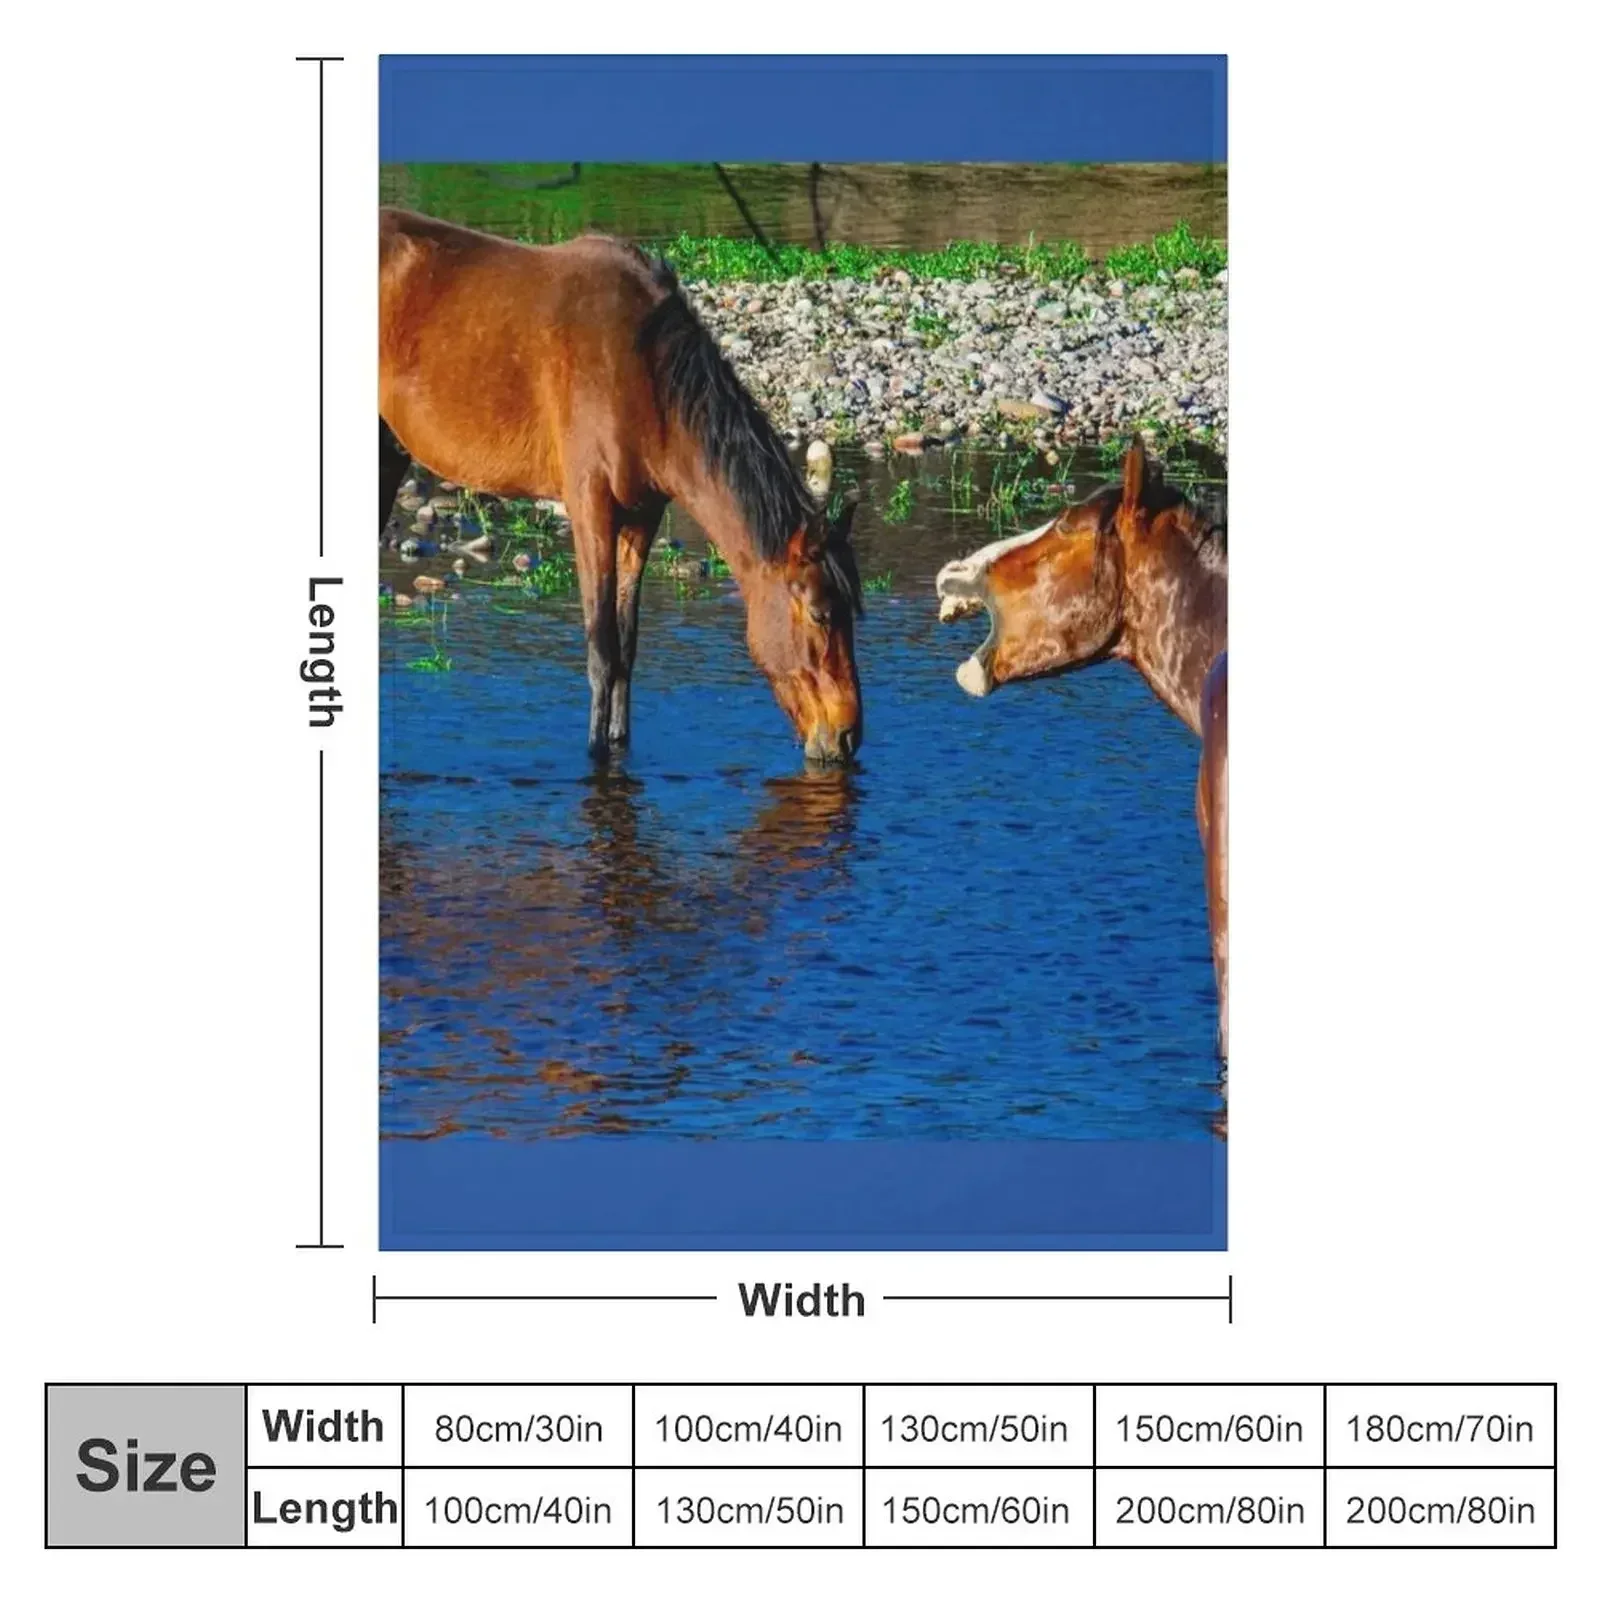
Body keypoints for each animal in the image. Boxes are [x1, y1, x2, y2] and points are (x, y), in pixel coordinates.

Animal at [378, 208, 864, 764]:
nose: (848, 736)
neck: (643, 371)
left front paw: (618, 741)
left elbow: (628, 644)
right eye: (822, 615)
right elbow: (602, 646)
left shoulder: (642, 514)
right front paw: (595, 753)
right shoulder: (591, 507)